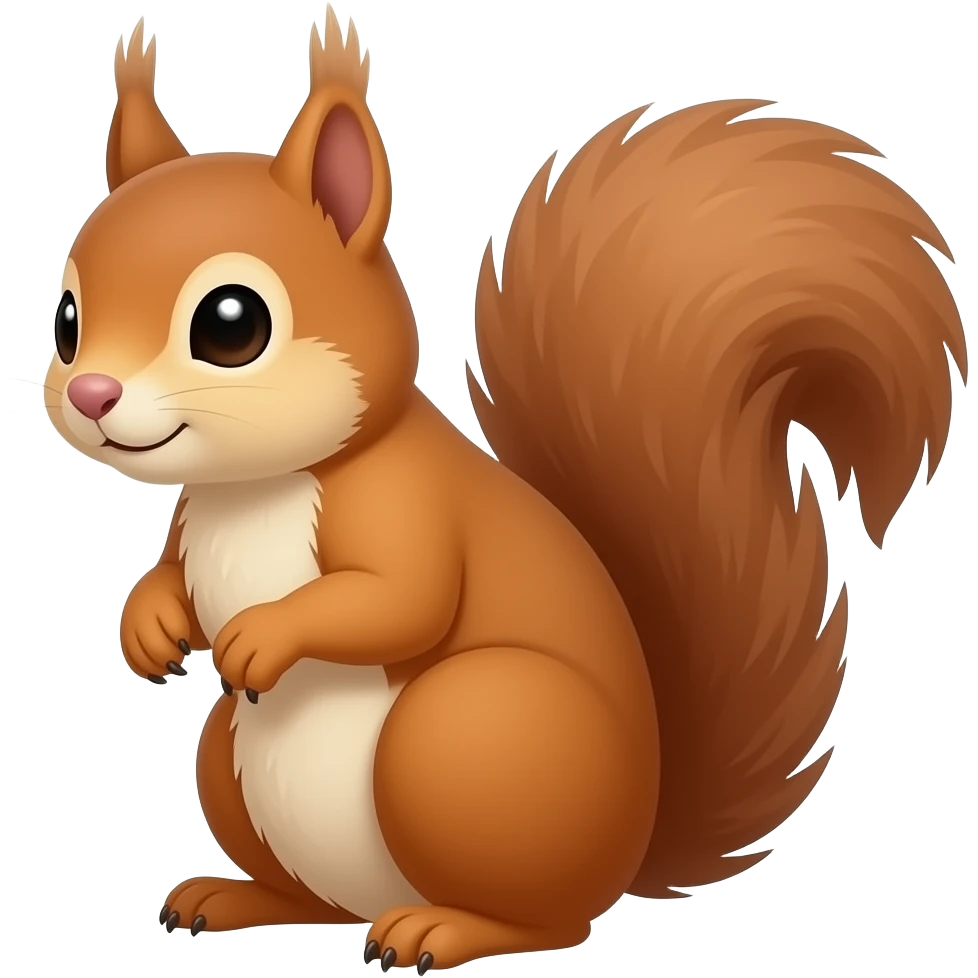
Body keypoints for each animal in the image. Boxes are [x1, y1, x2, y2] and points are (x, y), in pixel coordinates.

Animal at [43, 8, 967, 972]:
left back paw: (442, 931)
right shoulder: (194, 519)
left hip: (468, 733)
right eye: (67, 320)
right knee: (317, 901)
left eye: (232, 324)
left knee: (547, 920)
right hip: (231, 759)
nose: (91, 394)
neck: (256, 488)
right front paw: (148, 627)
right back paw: (235, 896)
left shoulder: (405, 505)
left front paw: (262, 636)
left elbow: (400, 598)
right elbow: (171, 577)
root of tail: (627, 852)